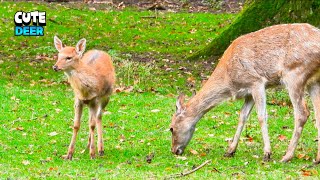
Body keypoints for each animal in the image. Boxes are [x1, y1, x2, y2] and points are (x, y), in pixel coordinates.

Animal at [170, 23, 320, 162]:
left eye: (171, 128)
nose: (174, 150)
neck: (229, 80)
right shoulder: (248, 92)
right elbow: (242, 116)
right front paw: (230, 151)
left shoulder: (257, 82)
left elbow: (261, 116)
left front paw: (267, 153)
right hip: (313, 81)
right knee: (317, 113)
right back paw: (317, 158)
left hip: (294, 74)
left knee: (303, 112)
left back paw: (287, 156)